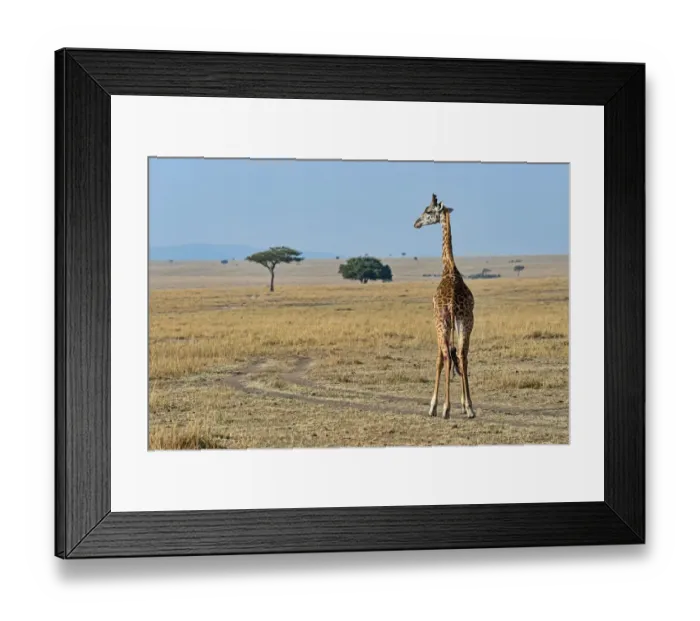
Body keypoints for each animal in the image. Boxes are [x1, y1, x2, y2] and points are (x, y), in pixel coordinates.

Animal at [414, 194, 476, 420]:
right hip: (466, 321)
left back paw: (445, 409)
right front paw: (465, 405)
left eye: (428, 211)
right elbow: (458, 356)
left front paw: (433, 406)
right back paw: (470, 408)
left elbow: (440, 359)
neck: (449, 266)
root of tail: (452, 301)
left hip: (443, 322)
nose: (416, 223)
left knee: (447, 357)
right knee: (462, 356)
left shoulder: (437, 321)